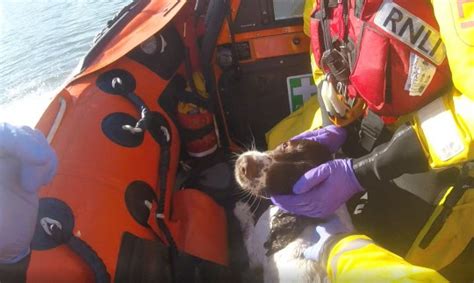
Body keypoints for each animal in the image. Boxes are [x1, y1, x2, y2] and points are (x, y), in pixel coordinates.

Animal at [233, 140, 352, 283]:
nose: (246, 165)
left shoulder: (255, 252)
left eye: (290, 178)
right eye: (285, 145)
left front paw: (241, 210)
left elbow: (247, 230)